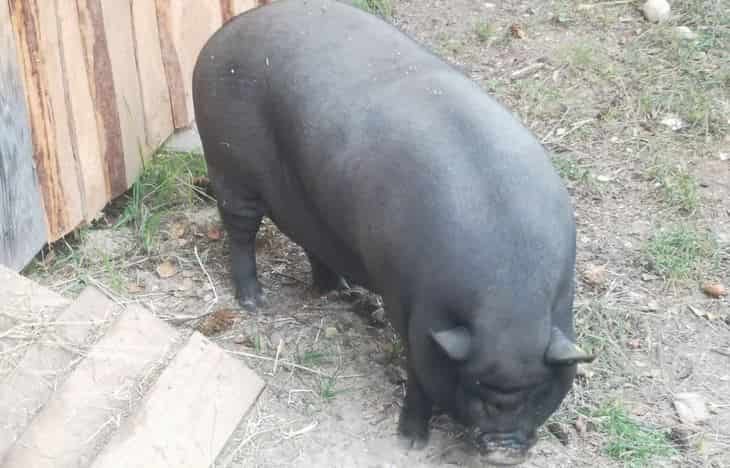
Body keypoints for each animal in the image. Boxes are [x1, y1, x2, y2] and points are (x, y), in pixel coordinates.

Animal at [192, 0, 594, 464]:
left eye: (539, 390)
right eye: (474, 385)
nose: (503, 448)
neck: (508, 301)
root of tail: (220, 38)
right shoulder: (415, 315)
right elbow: (419, 379)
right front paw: (410, 443)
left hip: (309, 204)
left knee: (313, 242)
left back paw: (339, 291)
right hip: (228, 166)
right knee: (240, 231)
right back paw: (256, 303)